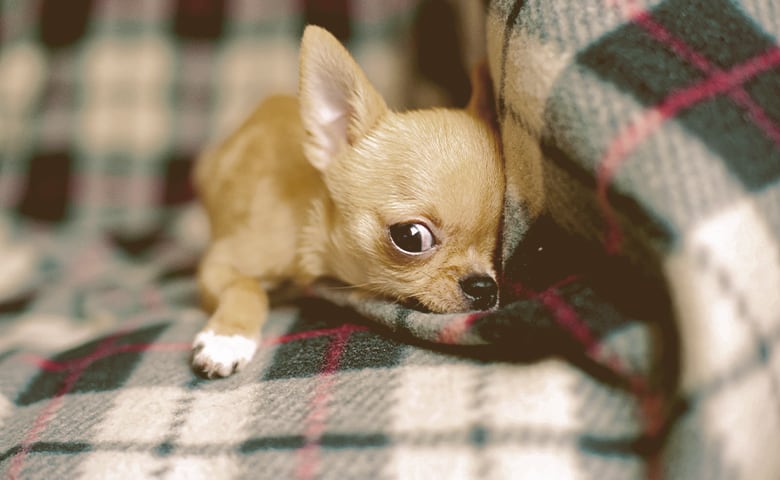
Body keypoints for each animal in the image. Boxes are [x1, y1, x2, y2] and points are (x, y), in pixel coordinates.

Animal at [192, 26, 502, 376]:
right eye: (411, 237)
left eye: (500, 237)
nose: (483, 287)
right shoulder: (218, 264)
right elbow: (248, 287)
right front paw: (227, 338)